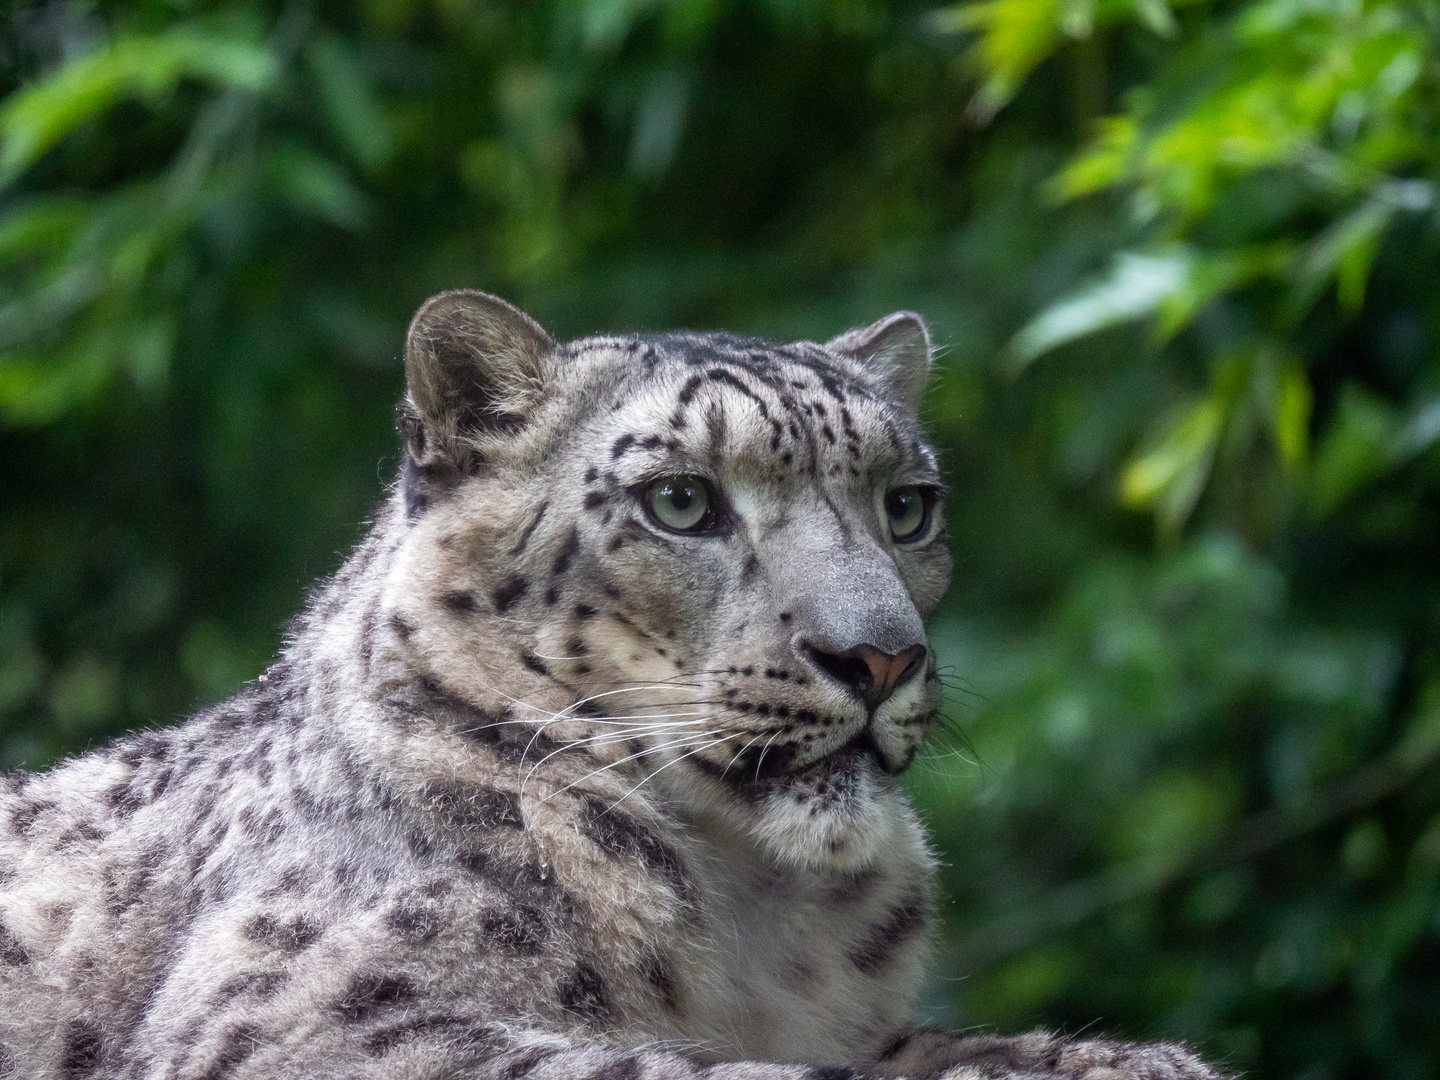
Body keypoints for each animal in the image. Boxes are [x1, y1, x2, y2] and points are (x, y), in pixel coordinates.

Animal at [0, 292, 1226, 1080]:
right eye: (680, 501)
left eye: (908, 505)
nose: (880, 656)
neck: (757, 913)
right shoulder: (305, 1020)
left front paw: (1133, 1061)